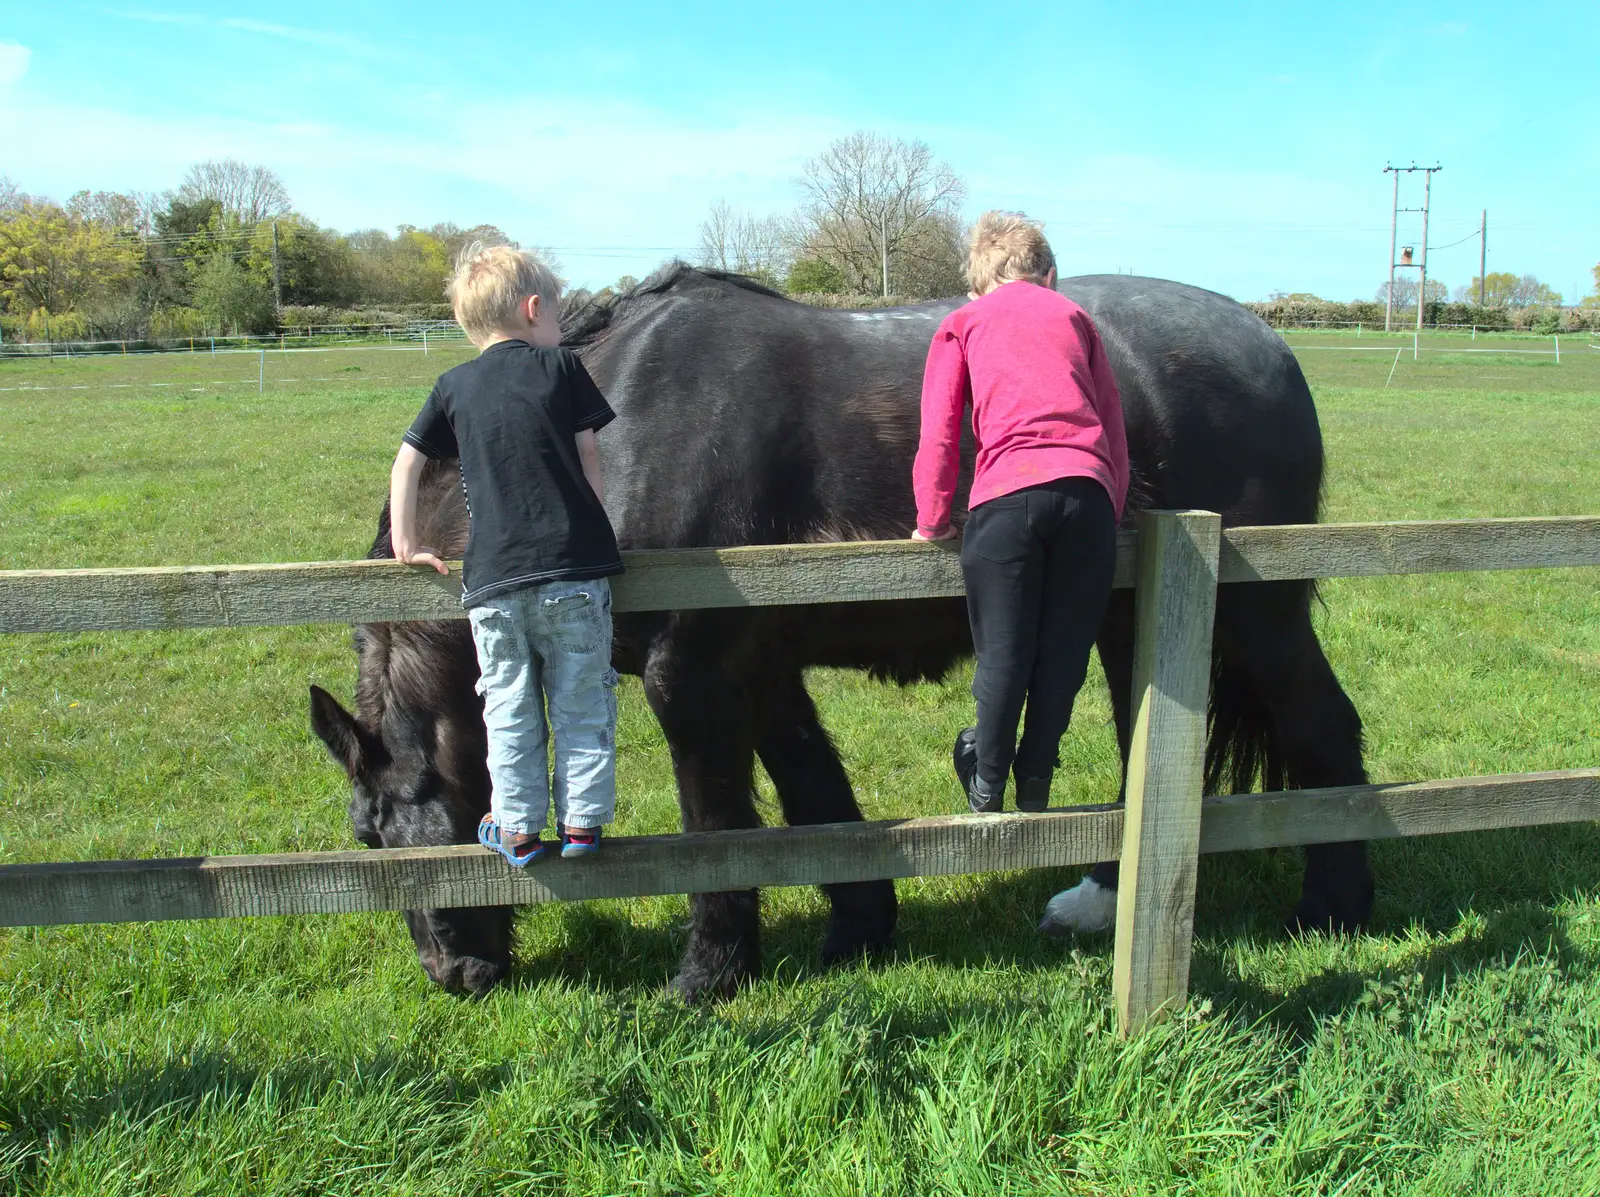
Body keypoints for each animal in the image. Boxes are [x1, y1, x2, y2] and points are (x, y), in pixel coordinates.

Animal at [305, 268, 1369, 998]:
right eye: (364, 838)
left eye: (393, 832)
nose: (456, 974)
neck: (612, 427)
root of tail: (1268, 344)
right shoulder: (764, 672)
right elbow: (812, 790)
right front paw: (860, 925)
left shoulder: (690, 676)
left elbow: (716, 821)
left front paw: (710, 969)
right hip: (1126, 624)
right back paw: (1099, 899)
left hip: (1260, 619)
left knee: (1324, 728)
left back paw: (1333, 906)